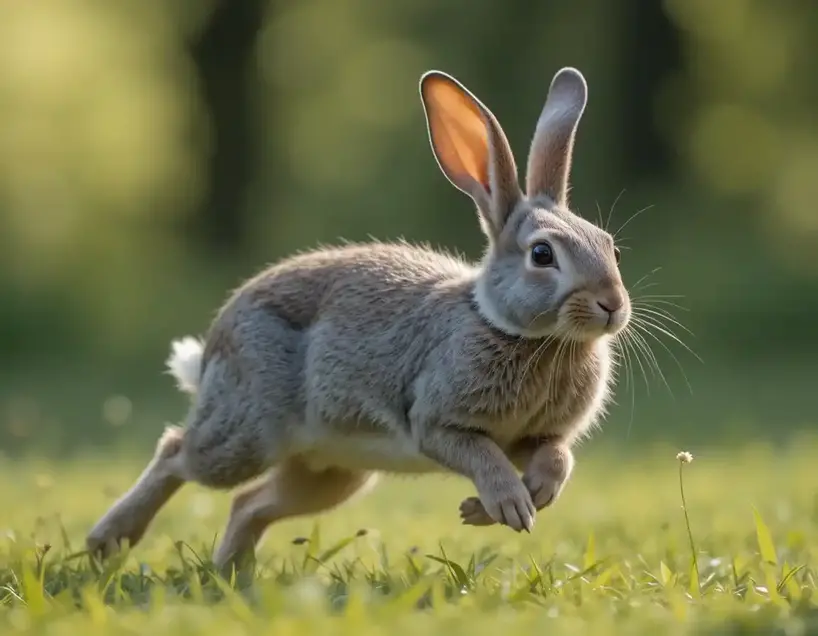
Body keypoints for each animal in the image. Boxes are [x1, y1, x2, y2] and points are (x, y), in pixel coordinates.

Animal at [86, 67, 628, 572]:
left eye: (610, 247)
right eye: (542, 255)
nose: (612, 305)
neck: (523, 333)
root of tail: (214, 345)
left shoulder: (538, 437)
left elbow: (558, 458)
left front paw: (508, 503)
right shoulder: (436, 422)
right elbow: (482, 457)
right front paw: (508, 504)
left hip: (331, 472)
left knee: (250, 504)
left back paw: (231, 576)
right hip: (247, 433)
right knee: (178, 453)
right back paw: (109, 540)